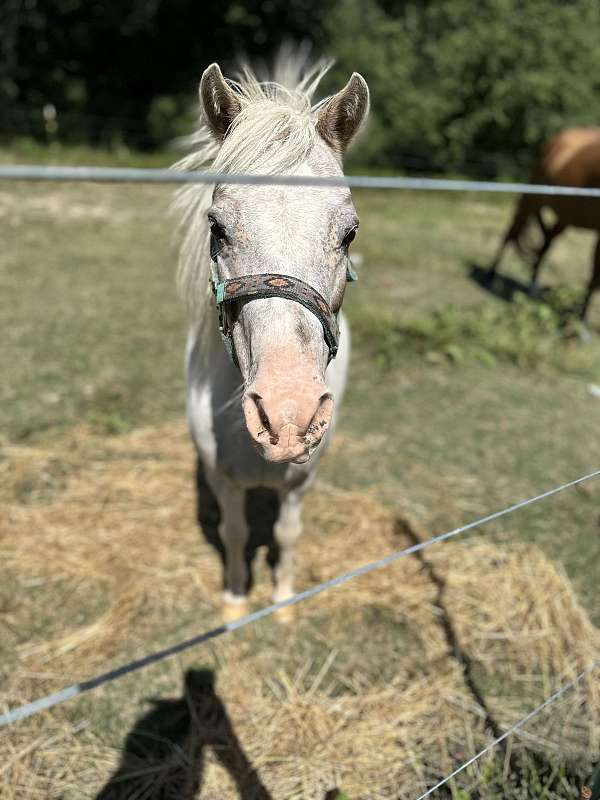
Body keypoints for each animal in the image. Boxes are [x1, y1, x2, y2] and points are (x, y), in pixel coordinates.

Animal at [173, 56, 368, 620]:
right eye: (216, 227)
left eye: (349, 233)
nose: (288, 414)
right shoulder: (221, 479)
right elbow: (236, 533)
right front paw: (237, 603)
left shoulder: (302, 482)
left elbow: (286, 532)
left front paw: (282, 603)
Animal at [490, 126, 600, 320]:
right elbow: (596, 275)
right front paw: (581, 318)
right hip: (530, 199)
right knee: (512, 232)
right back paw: (492, 275)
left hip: (564, 217)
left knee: (545, 244)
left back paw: (532, 287)